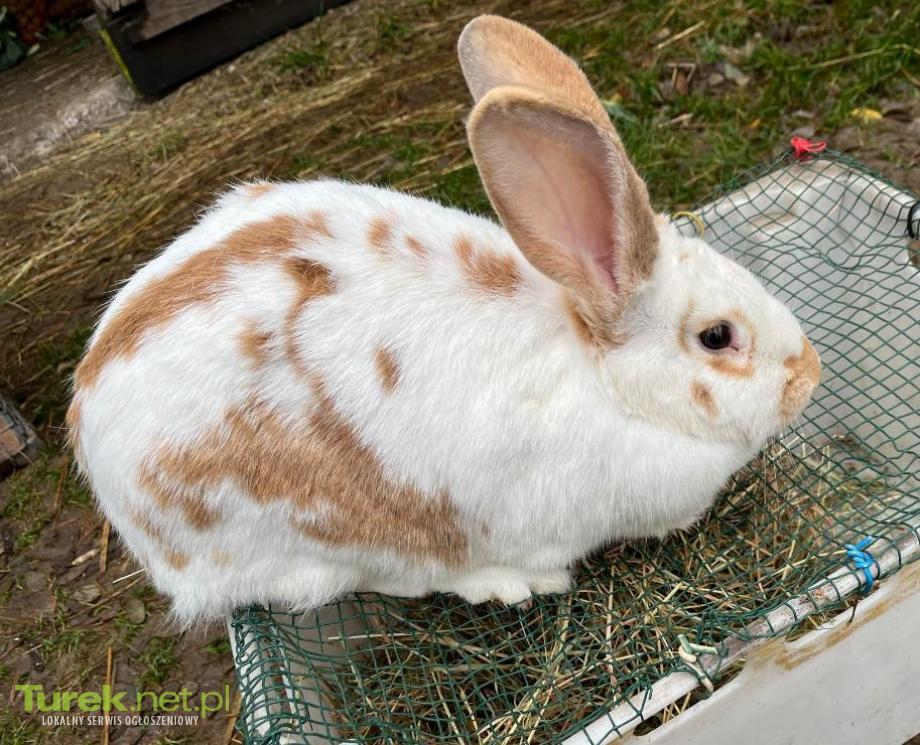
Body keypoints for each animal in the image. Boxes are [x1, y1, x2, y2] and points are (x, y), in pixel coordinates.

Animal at [67, 15, 820, 622]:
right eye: (718, 336)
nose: (809, 372)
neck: (605, 381)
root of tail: (87, 416)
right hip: (313, 541)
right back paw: (501, 583)